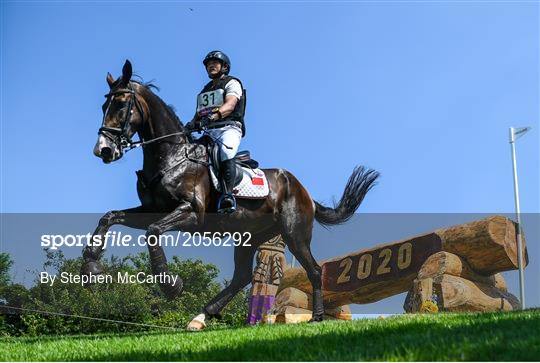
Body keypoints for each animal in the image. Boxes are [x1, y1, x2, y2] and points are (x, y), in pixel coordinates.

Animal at [83, 61, 380, 332]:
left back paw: (317, 317)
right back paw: (201, 316)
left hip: (294, 233)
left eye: (121, 104)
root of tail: (302, 188)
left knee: (314, 270)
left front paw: (171, 286)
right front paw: (91, 268)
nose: (103, 150)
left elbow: (153, 232)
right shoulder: (152, 211)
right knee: (242, 276)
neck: (172, 158)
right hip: (250, 236)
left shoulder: (191, 213)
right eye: (103, 106)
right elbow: (109, 217)